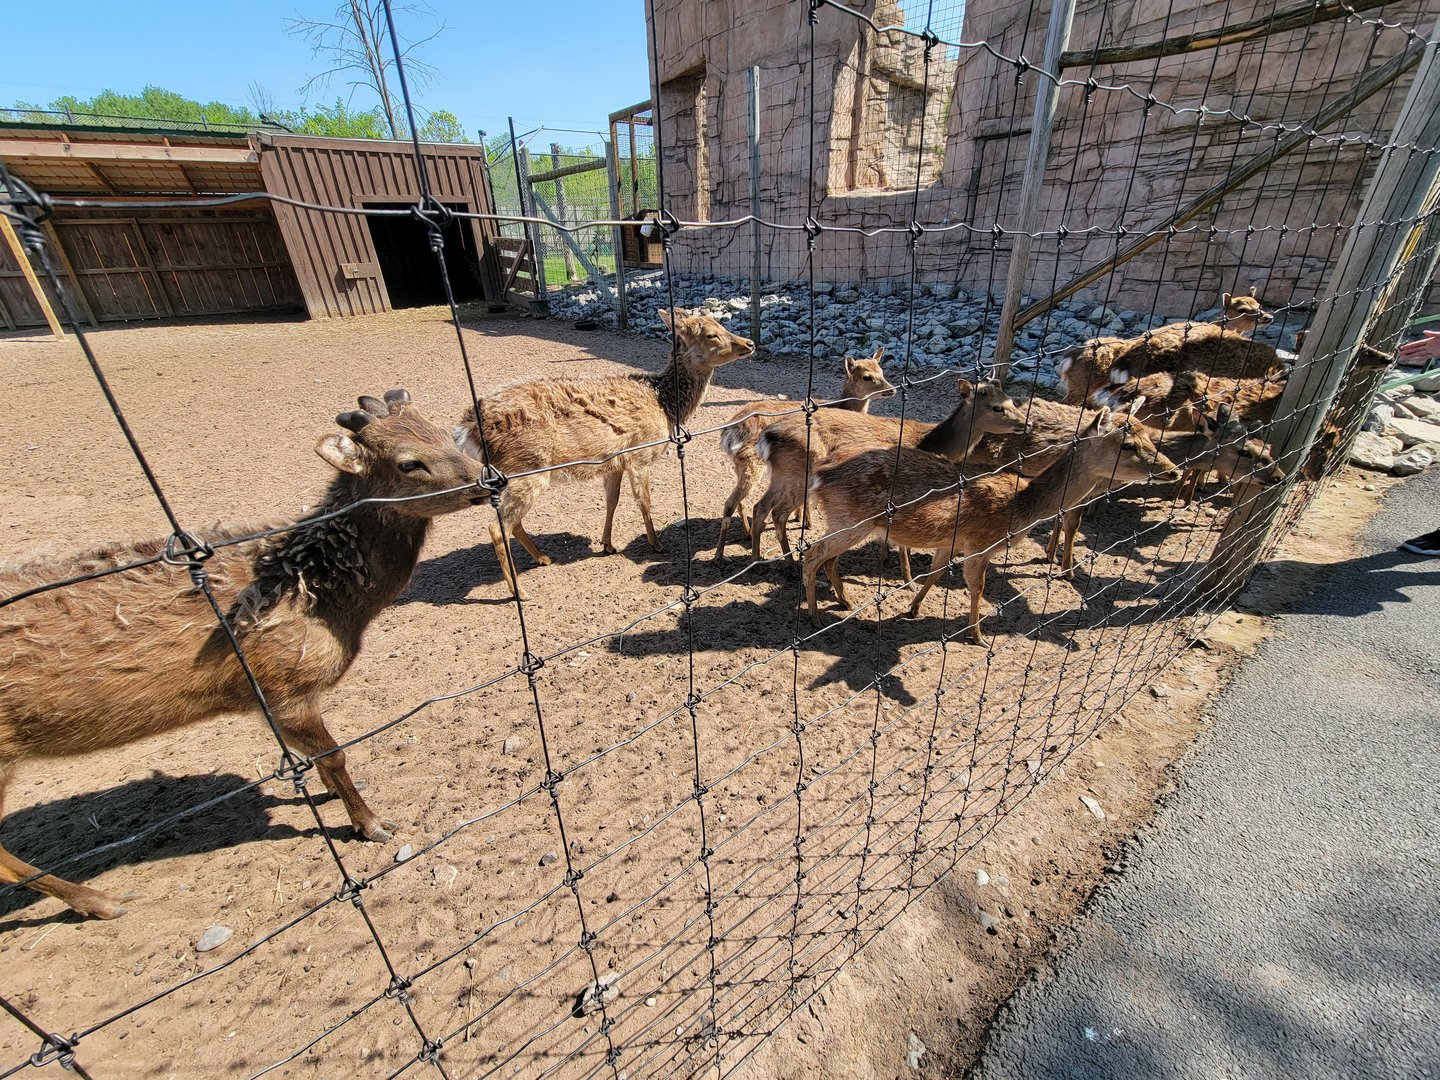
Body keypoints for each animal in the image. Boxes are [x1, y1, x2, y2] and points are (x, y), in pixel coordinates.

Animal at [0, 390, 489, 920]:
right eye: (408, 462)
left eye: (443, 433)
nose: (488, 478)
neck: (323, 603)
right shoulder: (281, 685)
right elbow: (336, 754)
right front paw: (373, 825)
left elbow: (314, 759)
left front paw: (322, 794)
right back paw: (104, 901)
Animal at [455, 308, 754, 596]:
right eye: (711, 335)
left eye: (722, 325)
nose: (749, 343)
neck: (665, 407)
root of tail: (466, 430)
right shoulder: (640, 453)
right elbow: (644, 501)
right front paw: (656, 543)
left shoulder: (613, 462)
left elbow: (613, 500)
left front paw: (608, 544)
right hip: (526, 468)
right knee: (497, 527)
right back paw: (521, 591)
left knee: (511, 523)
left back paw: (543, 558)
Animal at [713, 347, 895, 564]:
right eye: (867, 376)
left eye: (882, 370)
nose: (891, 389)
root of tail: (728, 434)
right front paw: (806, 522)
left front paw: (802, 518)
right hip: (753, 463)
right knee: (731, 503)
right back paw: (720, 556)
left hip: (740, 465)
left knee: (739, 501)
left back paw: (747, 535)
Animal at [748, 379, 1028, 563]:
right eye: (996, 407)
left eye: (1012, 399)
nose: (1025, 423)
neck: (931, 443)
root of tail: (768, 436)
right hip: (799, 474)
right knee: (777, 512)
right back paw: (783, 560)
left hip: (782, 475)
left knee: (761, 506)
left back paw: (762, 557)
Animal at [803, 407, 1179, 642]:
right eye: (1128, 445)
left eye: (1150, 436)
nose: (1172, 470)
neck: (1022, 507)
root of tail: (821, 474)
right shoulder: (981, 542)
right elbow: (978, 587)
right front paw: (978, 636)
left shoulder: (951, 542)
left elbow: (934, 575)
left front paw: (913, 609)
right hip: (851, 519)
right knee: (812, 553)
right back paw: (814, 615)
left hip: (846, 521)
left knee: (828, 559)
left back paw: (844, 602)